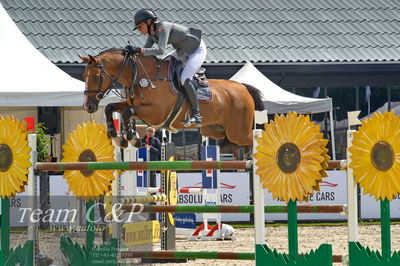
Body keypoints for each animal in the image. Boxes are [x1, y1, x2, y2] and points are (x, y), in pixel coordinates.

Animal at [79, 48, 264, 151]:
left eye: (96, 77)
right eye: (83, 76)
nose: (88, 107)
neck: (142, 76)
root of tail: (243, 88)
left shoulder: (156, 113)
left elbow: (127, 112)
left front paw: (132, 139)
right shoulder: (132, 104)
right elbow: (111, 107)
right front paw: (119, 138)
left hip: (238, 132)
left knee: (253, 140)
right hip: (215, 130)